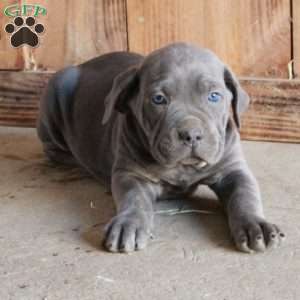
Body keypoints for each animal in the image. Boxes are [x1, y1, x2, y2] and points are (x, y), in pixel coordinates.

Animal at [37, 42, 284, 253]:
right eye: (158, 99)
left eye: (214, 96)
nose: (191, 135)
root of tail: (83, 64)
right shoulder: (130, 174)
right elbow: (134, 198)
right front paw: (128, 224)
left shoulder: (233, 170)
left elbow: (245, 195)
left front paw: (256, 225)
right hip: (54, 95)